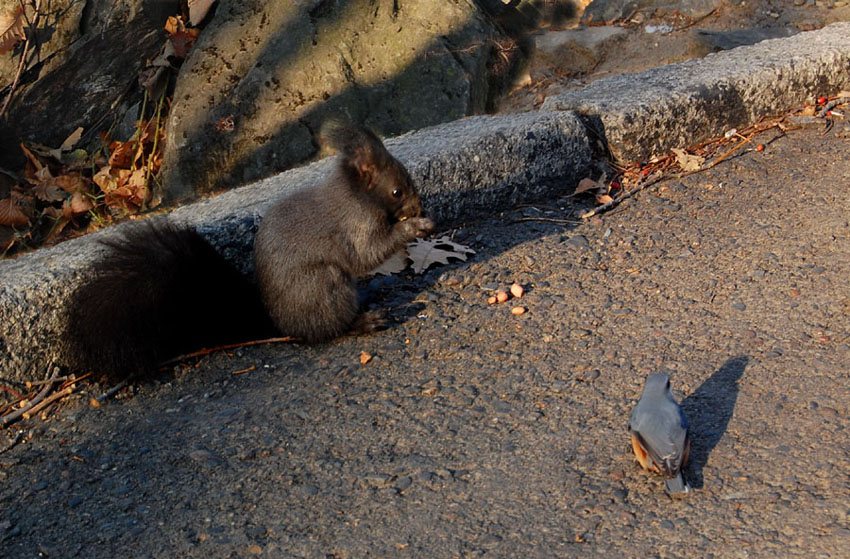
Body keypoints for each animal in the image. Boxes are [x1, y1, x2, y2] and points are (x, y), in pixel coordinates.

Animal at [67, 123, 434, 380]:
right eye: (397, 191)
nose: (418, 207)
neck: (358, 194)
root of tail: (279, 324)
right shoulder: (354, 225)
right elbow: (366, 254)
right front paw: (414, 227)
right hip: (322, 286)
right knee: (329, 328)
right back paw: (363, 321)